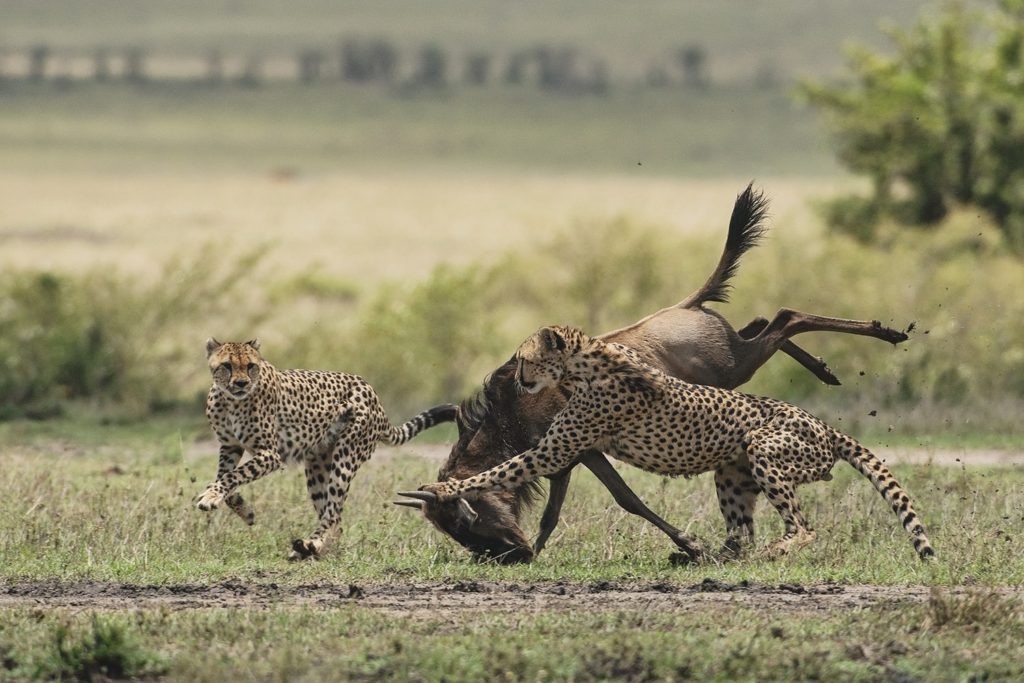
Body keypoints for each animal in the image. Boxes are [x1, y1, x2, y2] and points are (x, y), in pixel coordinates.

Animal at [197, 337, 454, 561]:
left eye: (250, 366)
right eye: (227, 366)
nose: (242, 383)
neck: (231, 401)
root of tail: (372, 393)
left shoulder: (270, 454)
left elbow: (232, 476)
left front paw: (210, 497)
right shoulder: (230, 446)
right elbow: (225, 478)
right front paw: (244, 510)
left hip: (346, 455)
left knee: (332, 512)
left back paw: (312, 544)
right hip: (318, 466)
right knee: (335, 519)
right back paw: (315, 550)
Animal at [415, 325, 937, 561]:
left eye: (467, 525)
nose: (508, 556)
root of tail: (827, 429)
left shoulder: (568, 448)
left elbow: (623, 499)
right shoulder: (571, 451)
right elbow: (555, 506)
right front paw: (540, 550)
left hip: (765, 450)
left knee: (801, 528)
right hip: (733, 471)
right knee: (742, 534)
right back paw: (716, 557)